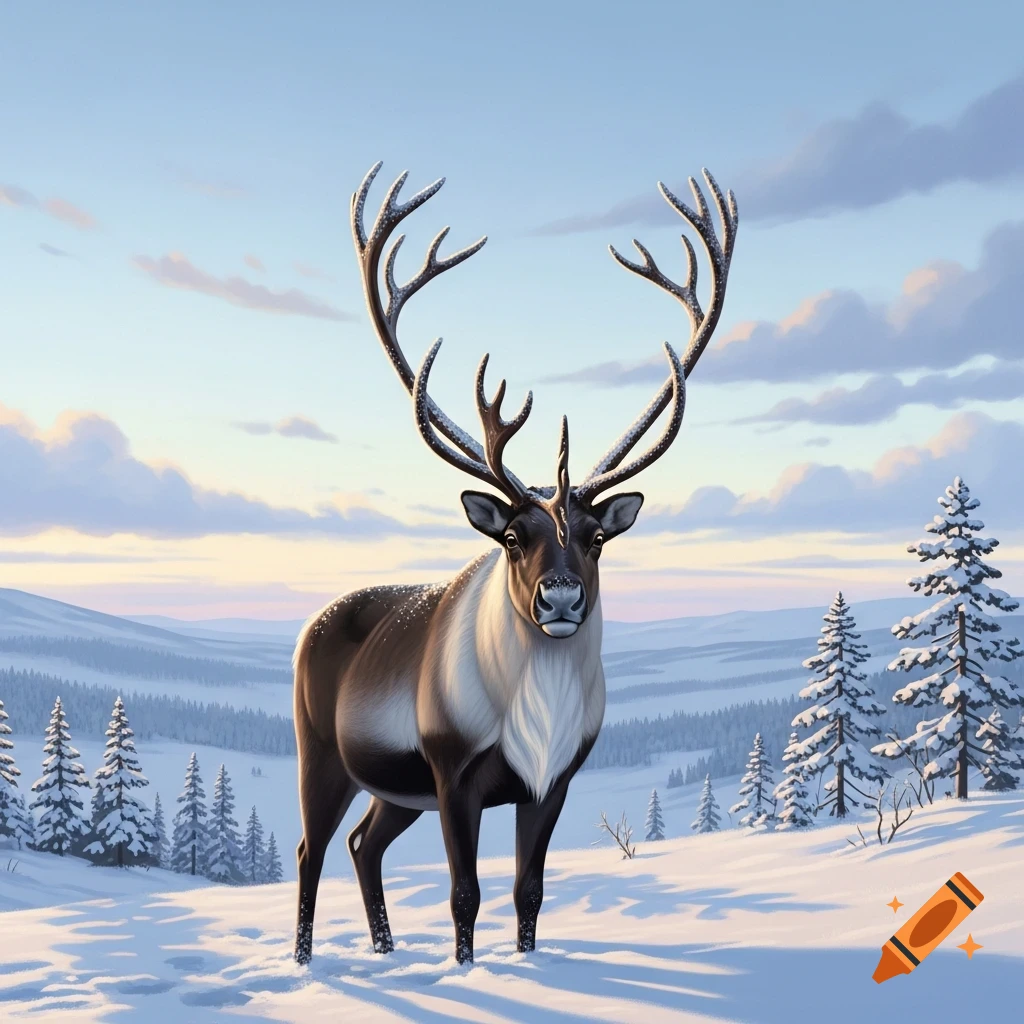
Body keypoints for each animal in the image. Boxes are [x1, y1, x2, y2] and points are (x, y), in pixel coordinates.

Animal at [292, 160, 738, 965]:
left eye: (597, 536)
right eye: (511, 536)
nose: (559, 599)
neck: (537, 719)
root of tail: (311, 624)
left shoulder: (551, 783)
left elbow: (528, 891)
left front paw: (526, 963)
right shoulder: (453, 772)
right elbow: (463, 894)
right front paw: (467, 970)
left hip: (393, 790)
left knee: (364, 844)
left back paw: (385, 951)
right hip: (324, 752)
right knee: (313, 848)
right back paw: (308, 962)